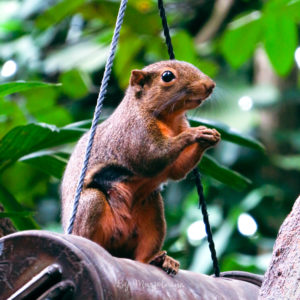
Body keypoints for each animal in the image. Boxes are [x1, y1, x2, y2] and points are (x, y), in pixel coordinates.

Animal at [61, 59, 220, 276]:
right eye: (167, 76)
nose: (210, 85)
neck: (168, 118)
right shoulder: (135, 132)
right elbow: (152, 158)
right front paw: (195, 133)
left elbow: (177, 170)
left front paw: (210, 137)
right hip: (90, 205)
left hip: (152, 210)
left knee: (144, 253)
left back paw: (160, 260)